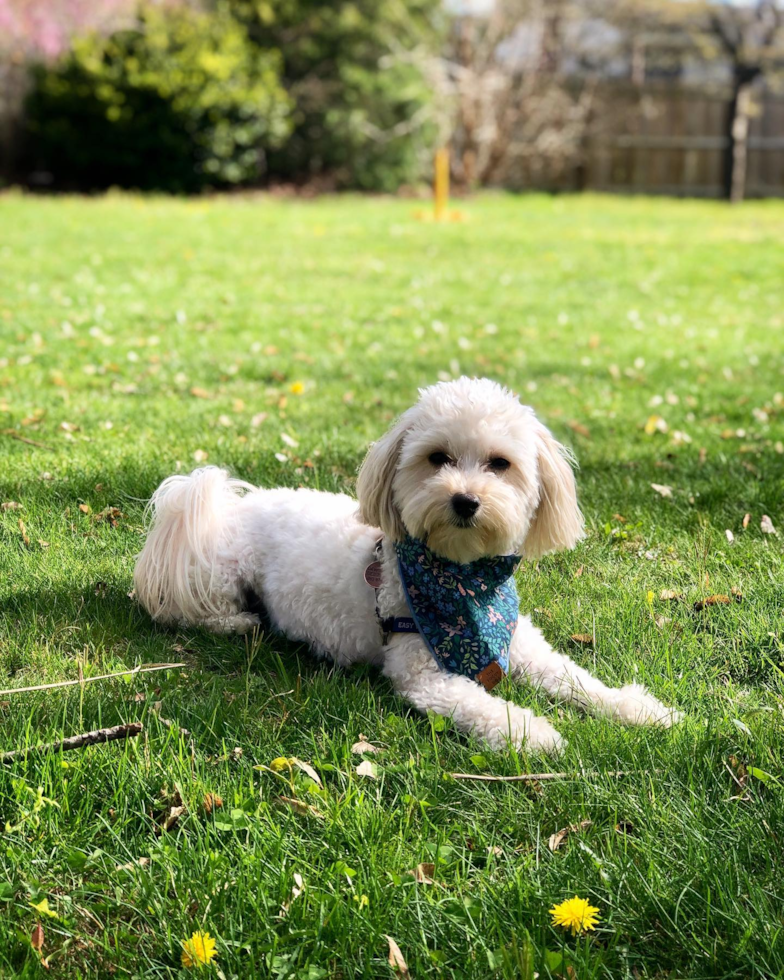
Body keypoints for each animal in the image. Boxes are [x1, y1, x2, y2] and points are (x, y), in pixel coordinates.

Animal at [135, 376, 680, 752]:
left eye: (500, 464)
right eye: (437, 458)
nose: (465, 500)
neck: (463, 585)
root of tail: (226, 507)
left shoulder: (523, 647)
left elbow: (578, 679)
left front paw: (637, 708)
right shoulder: (425, 677)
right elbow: (483, 706)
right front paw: (532, 731)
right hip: (217, 570)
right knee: (181, 611)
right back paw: (239, 621)